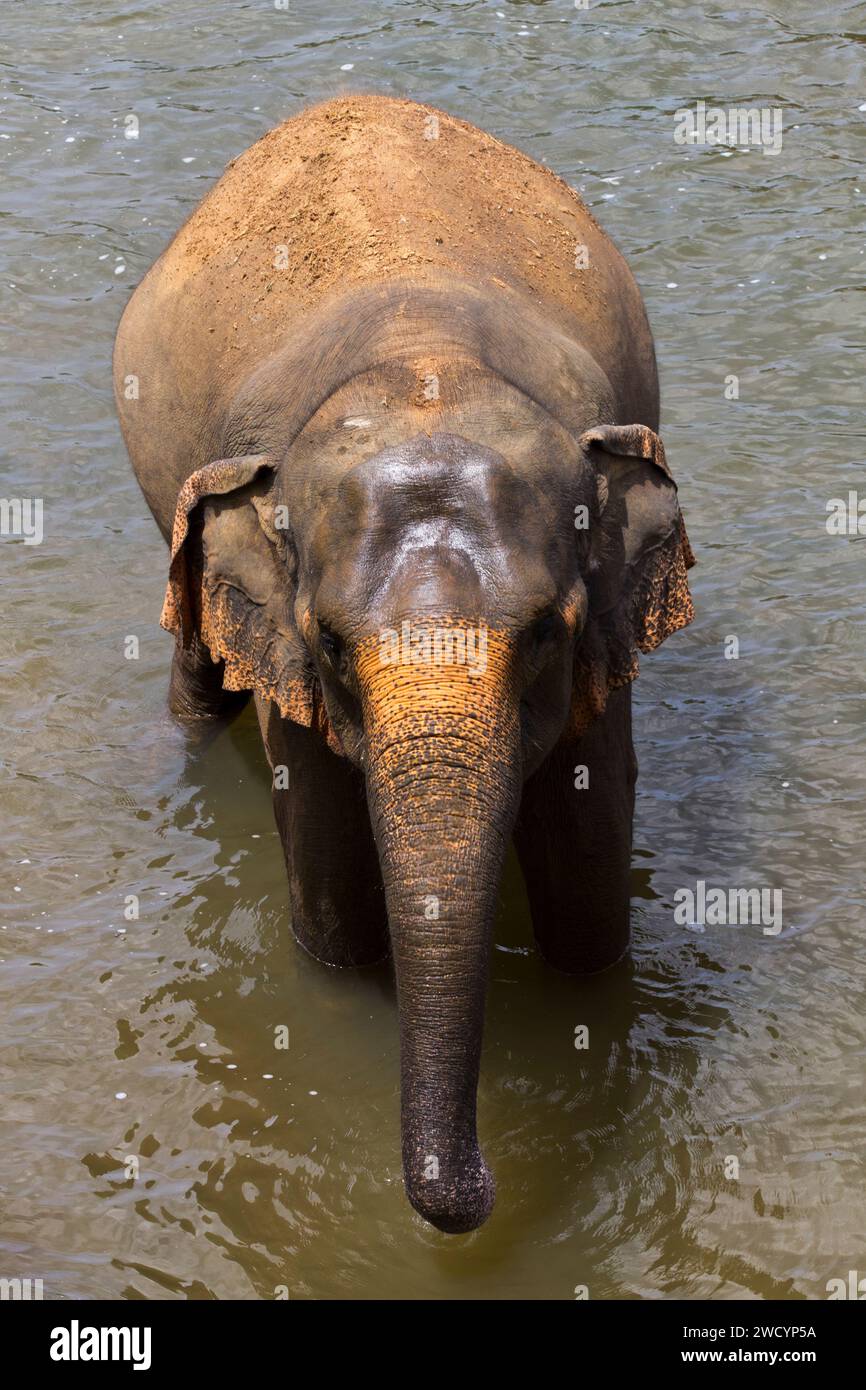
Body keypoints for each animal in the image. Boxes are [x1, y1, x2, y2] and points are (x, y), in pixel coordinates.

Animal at [113, 92, 697, 1234]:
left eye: (547, 633)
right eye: (334, 645)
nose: (478, 1193)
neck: (422, 377)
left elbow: (591, 850)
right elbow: (328, 874)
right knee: (196, 663)